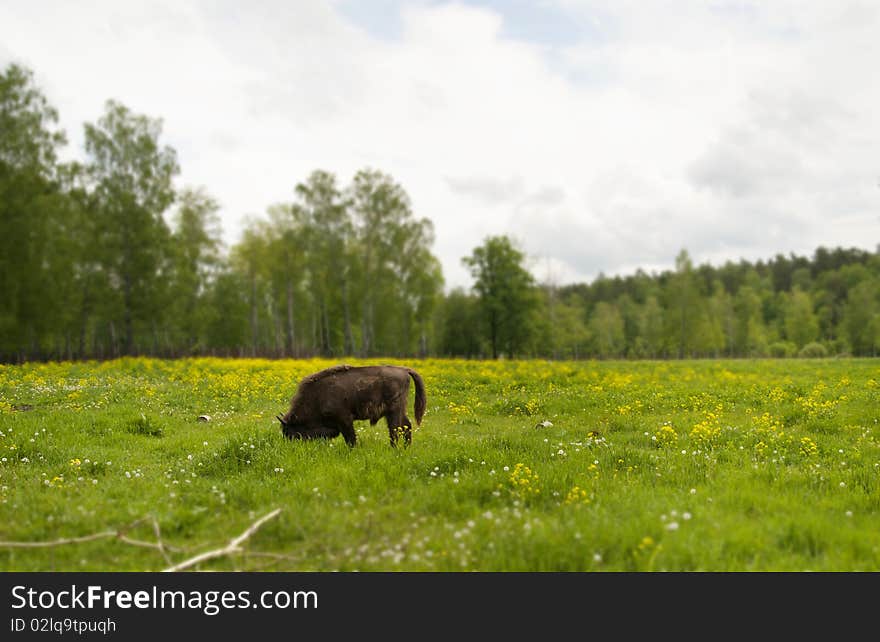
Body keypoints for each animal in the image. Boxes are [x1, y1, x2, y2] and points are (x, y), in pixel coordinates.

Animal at [276, 362, 426, 448]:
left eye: (289, 432)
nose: (291, 446)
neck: (316, 396)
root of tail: (404, 370)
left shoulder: (345, 420)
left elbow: (350, 438)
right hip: (397, 411)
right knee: (406, 426)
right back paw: (406, 448)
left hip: (394, 411)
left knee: (395, 429)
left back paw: (394, 448)